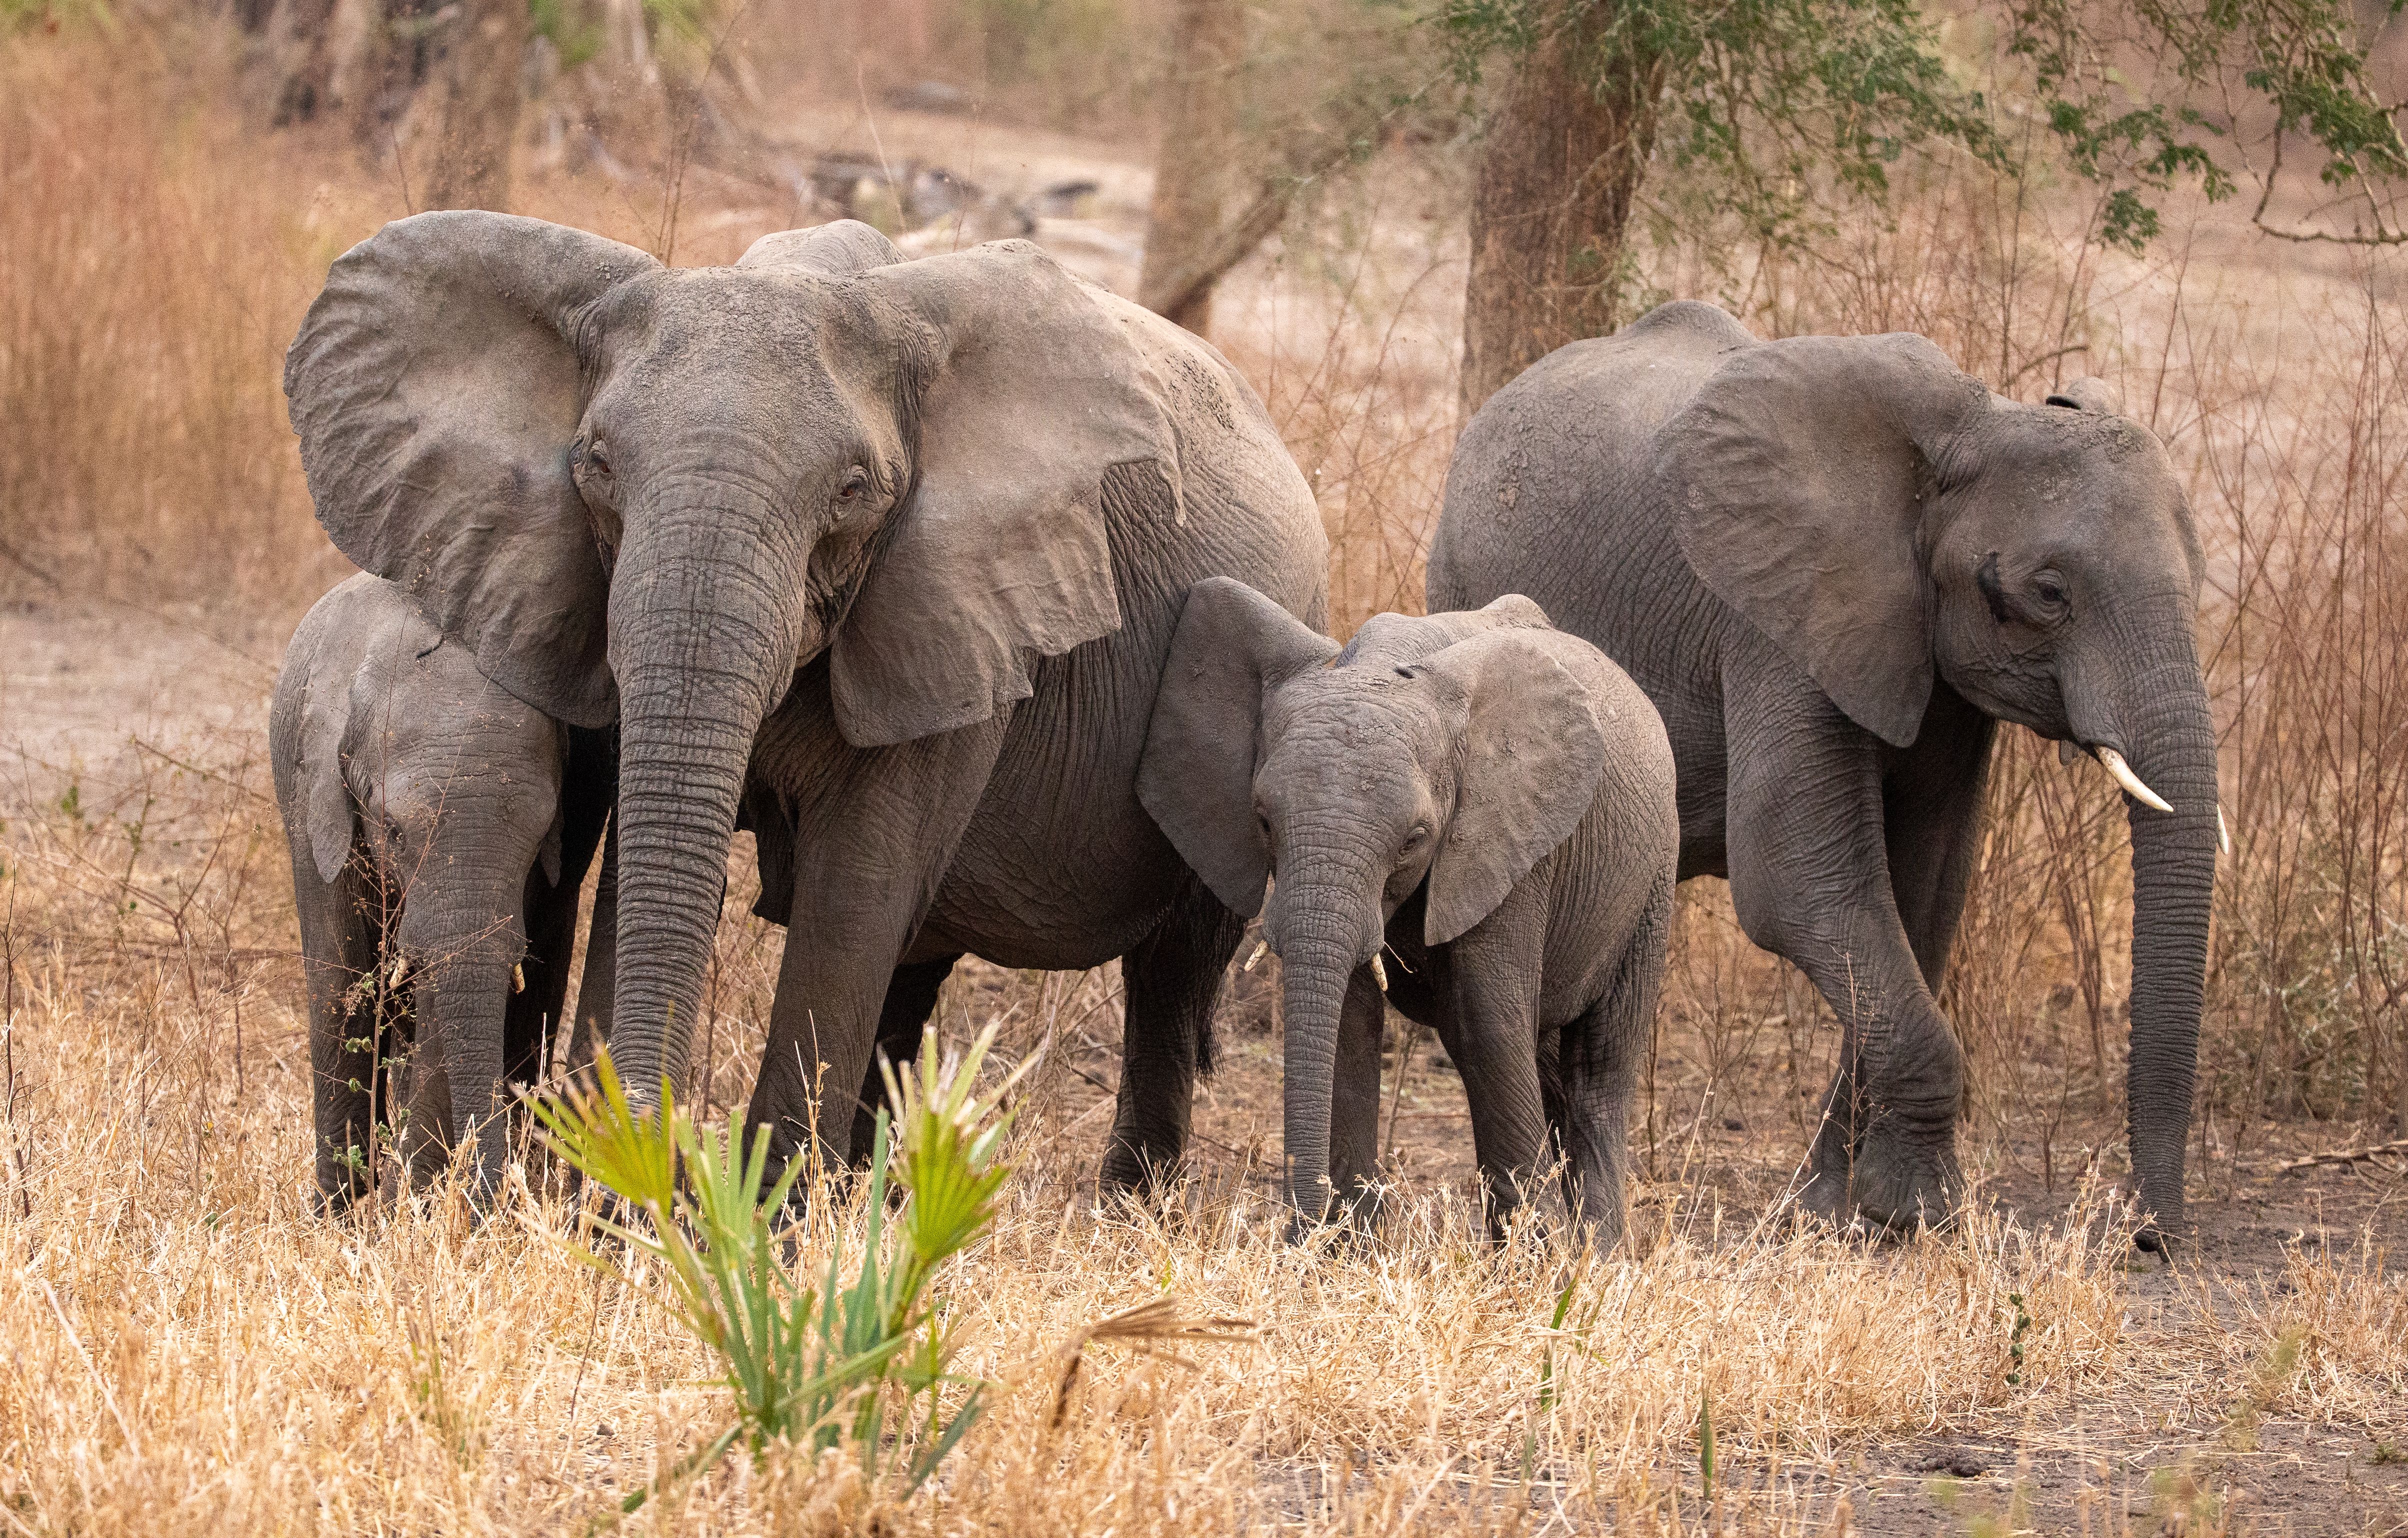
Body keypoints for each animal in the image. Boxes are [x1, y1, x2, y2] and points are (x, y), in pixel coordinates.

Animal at [271, 573, 617, 1207]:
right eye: (393, 830)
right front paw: (343, 1214)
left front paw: (410, 1206)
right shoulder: (314, 799)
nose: (495, 1199)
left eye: (539, 837)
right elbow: (340, 971)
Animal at [1138, 579, 1680, 1244]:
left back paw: (1597, 1254)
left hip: (1653, 880)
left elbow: (1483, 1021)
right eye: (1262, 820)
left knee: (1598, 1070)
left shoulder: (1510, 843)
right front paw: (1342, 1251)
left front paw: (1532, 1261)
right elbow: (1350, 1021)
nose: (1294, 1231)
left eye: (1414, 839)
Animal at [1428, 300, 2219, 1247]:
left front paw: (1841, 1212)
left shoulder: (1932, 663)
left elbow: (1922, 897)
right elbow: (1800, 884)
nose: (2149, 1236)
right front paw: (1923, 1215)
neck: (1970, 426)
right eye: (2048, 593)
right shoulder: (1774, 620)